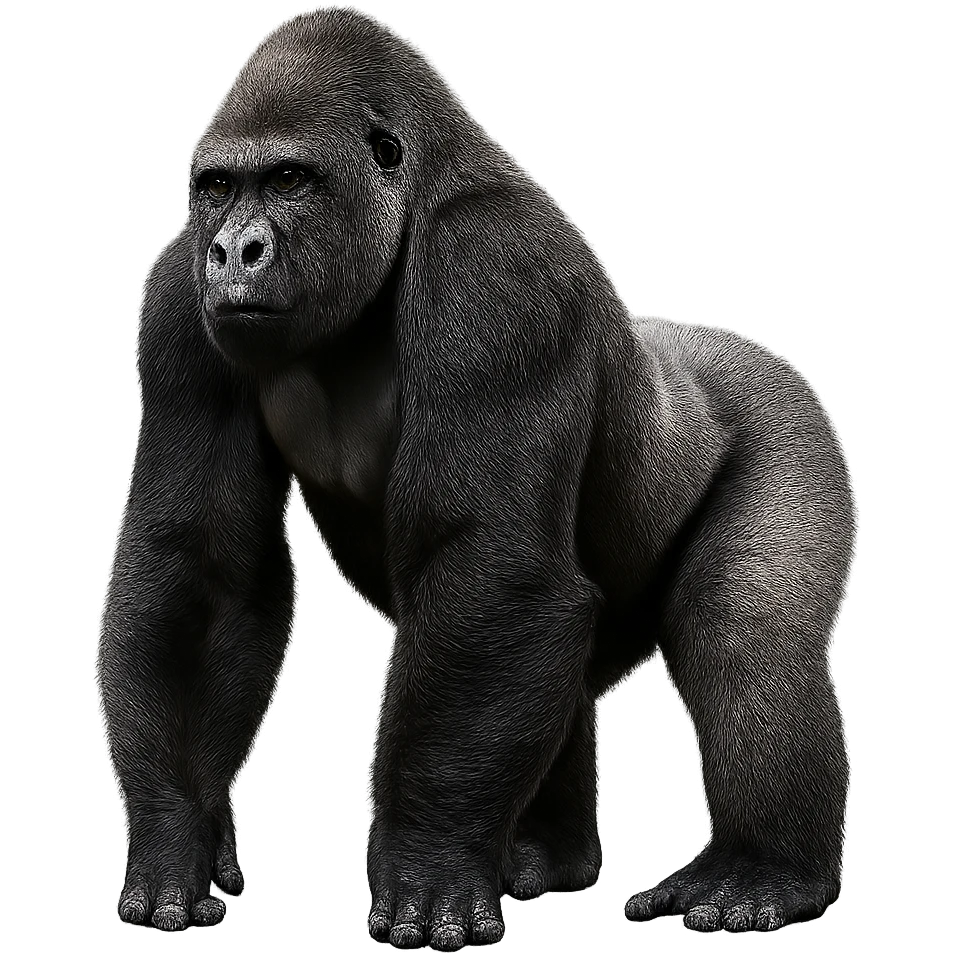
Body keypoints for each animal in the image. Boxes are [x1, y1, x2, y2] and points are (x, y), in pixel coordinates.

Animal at [100, 9, 854, 946]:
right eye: (217, 187)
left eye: (289, 179)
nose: (234, 250)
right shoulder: (177, 293)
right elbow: (204, 574)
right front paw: (175, 835)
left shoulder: (499, 272)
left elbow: (493, 568)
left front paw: (425, 859)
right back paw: (543, 853)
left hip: (788, 407)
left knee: (743, 627)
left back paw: (763, 869)